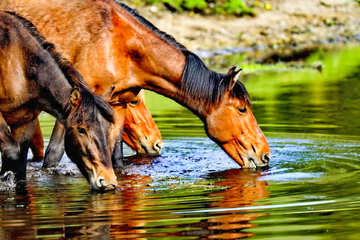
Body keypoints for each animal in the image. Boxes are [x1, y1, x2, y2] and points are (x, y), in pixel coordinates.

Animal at [0, 0, 270, 169]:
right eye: (242, 109)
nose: (265, 155)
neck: (118, 41)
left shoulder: (117, 104)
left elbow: (116, 156)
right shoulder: (72, 103)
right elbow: (53, 156)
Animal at [0, 11, 116, 191]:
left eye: (109, 128)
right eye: (81, 130)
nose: (108, 182)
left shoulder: (26, 121)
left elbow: (20, 164)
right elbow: (11, 152)